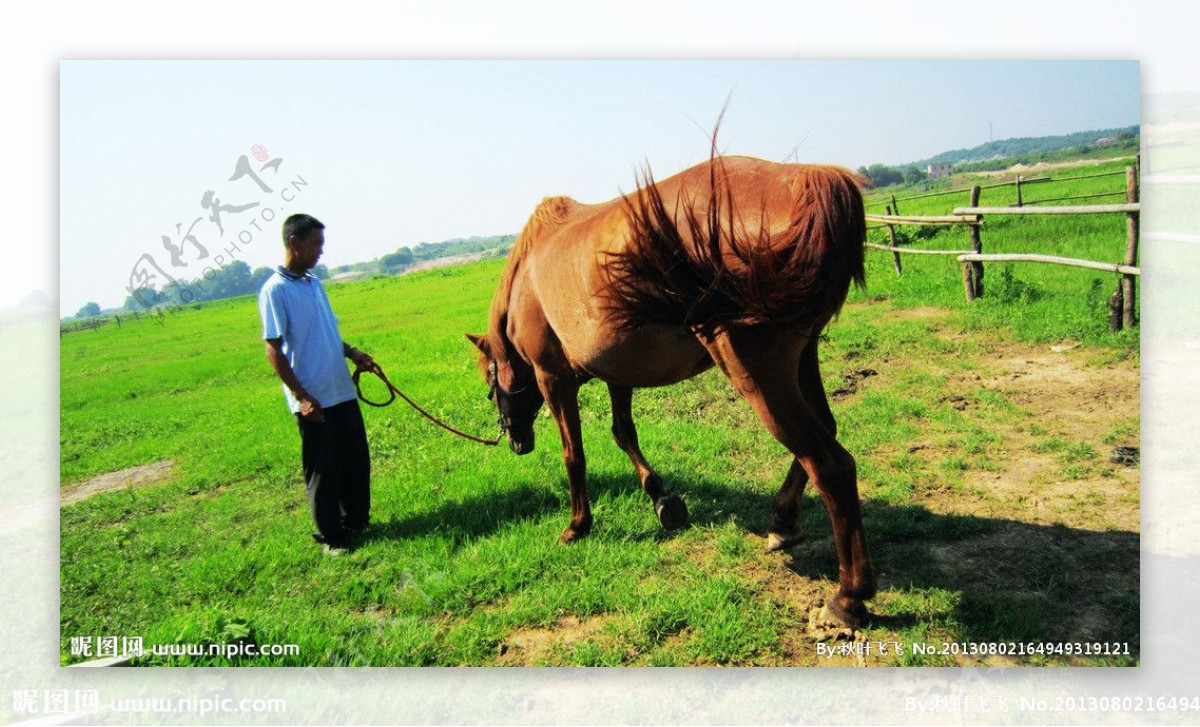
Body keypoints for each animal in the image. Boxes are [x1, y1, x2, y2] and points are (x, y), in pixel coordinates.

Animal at [463, 153, 878, 628]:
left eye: (490, 386)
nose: (516, 442)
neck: (528, 277)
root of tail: (803, 180)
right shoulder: (618, 371)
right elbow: (624, 433)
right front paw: (662, 498)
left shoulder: (554, 378)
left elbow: (574, 455)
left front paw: (577, 525)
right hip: (803, 356)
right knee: (824, 433)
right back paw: (782, 521)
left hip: (758, 374)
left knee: (829, 463)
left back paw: (848, 597)